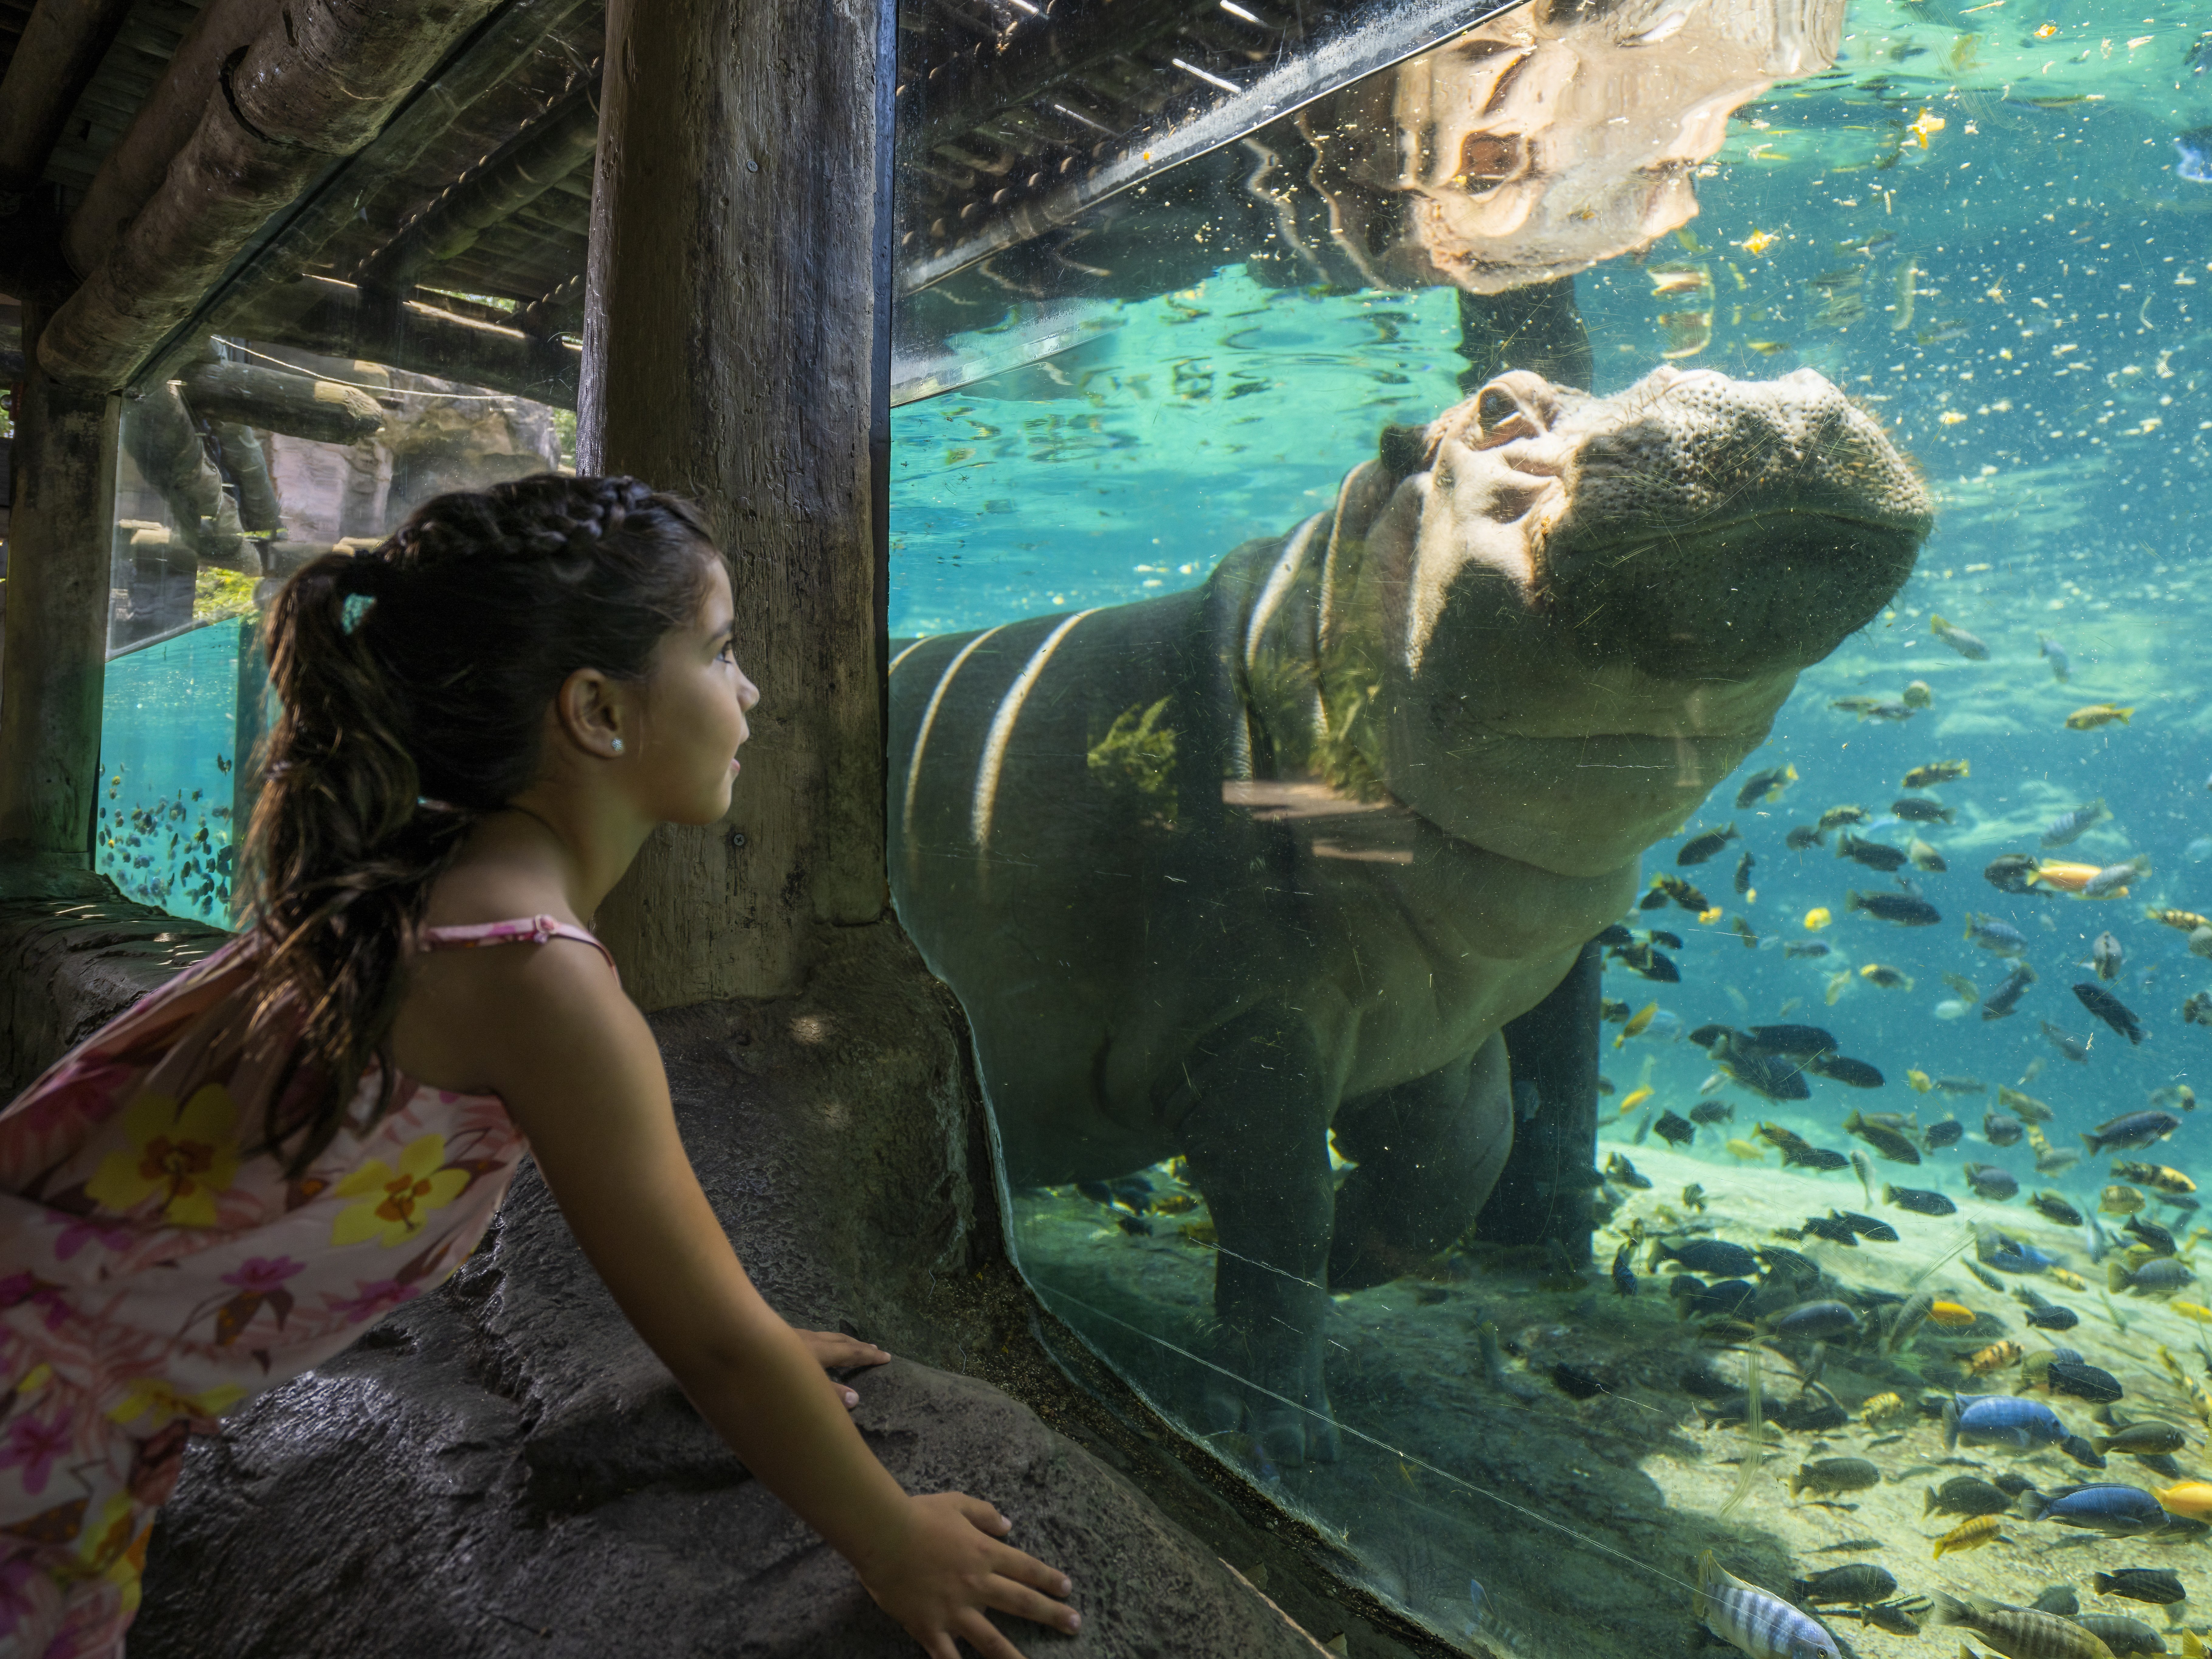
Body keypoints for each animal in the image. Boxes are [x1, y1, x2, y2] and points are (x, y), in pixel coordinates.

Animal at [889, 363, 1932, 1462]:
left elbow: (1462, 1162)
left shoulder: (1440, 1027)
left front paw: (1354, 1257)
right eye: (1498, 406)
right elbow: (1284, 1211)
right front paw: (1278, 1436)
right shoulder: (1245, 1024)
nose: (1780, 396)